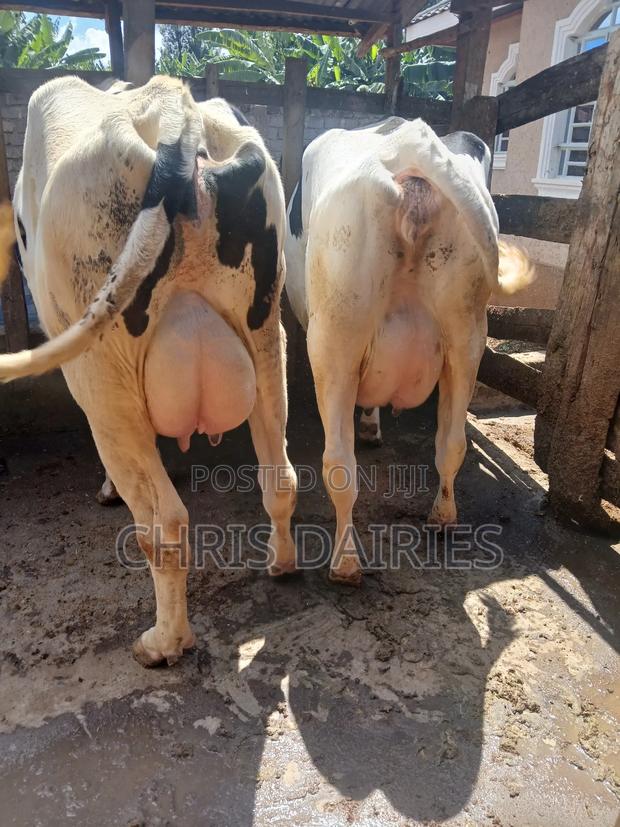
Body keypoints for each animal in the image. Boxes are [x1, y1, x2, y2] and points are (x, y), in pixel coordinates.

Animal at [0, 76, 298, 665]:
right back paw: (280, 564)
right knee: (280, 475)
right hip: (265, 336)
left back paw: (162, 642)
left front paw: (107, 488)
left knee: (164, 525)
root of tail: (174, 110)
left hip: (101, 371)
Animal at [285, 116, 532, 585]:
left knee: (338, 464)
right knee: (452, 443)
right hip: (467, 336)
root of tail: (409, 145)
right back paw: (443, 518)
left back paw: (345, 563)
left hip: (333, 341)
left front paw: (369, 425)